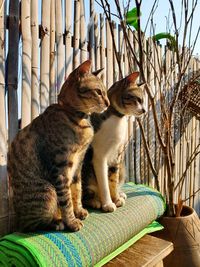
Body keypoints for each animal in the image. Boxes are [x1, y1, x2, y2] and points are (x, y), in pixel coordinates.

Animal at [7, 60, 109, 232]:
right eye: (98, 92)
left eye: (106, 92)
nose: (108, 103)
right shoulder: (60, 168)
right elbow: (66, 200)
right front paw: (72, 221)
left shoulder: (78, 165)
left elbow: (77, 190)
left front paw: (79, 211)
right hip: (47, 192)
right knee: (30, 225)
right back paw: (56, 222)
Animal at [81, 71, 145, 214]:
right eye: (138, 99)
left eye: (143, 101)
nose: (144, 110)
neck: (117, 118)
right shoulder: (99, 156)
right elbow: (104, 183)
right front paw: (108, 203)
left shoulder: (117, 155)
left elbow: (113, 180)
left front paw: (115, 198)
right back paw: (96, 202)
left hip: (122, 167)